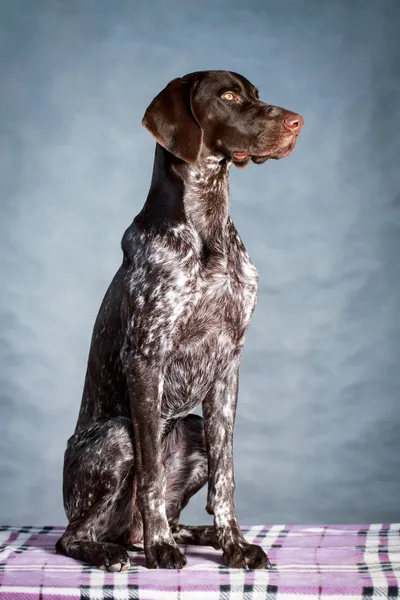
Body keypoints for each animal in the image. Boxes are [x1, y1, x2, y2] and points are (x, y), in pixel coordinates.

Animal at [55, 70, 304, 572]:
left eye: (257, 94)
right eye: (228, 96)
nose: (297, 122)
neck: (208, 225)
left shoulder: (228, 363)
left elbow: (226, 477)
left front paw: (234, 543)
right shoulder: (146, 357)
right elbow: (150, 473)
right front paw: (161, 549)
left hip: (191, 428)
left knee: (166, 515)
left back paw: (192, 534)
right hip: (117, 435)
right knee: (73, 535)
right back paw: (117, 548)